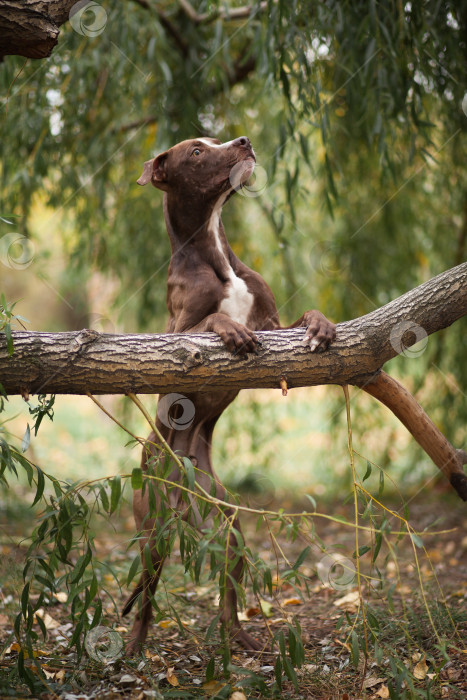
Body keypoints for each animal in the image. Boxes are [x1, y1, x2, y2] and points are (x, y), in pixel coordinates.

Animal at [123, 138, 336, 656]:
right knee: (146, 596)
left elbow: (302, 316)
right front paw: (231, 330)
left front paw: (321, 325)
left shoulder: (275, 324)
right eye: (197, 151)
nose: (243, 142)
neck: (215, 253)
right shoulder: (172, 334)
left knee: (228, 593)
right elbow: (210, 323)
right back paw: (134, 646)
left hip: (231, 526)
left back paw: (240, 636)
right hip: (152, 529)